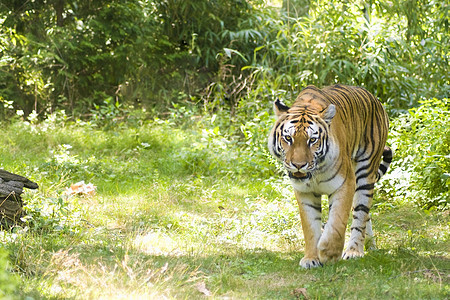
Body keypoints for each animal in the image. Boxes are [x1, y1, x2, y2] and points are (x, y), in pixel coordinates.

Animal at [268, 84, 392, 270]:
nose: (298, 165)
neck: (315, 172)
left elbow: (337, 223)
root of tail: (374, 98)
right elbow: (310, 227)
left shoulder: (345, 183)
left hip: (365, 171)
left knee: (361, 213)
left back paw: (354, 251)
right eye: (288, 138)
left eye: (312, 140)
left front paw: (329, 253)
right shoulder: (304, 192)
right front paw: (311, 258)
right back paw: (370, 245)